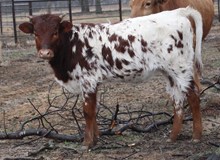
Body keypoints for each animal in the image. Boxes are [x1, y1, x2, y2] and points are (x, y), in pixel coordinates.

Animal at [18, 6, 203, 149]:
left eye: (55, 32)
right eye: (35, 33)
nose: (45, 53)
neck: (72, 44)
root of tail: (178, 12)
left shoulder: (88, 80)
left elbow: (87, 111)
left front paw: (87, 143)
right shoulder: (92, 82)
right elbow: (93, 110)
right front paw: (96, 139)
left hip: (181, 68)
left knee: (193, 96)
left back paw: (196, 136)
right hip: (169, 73)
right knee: (177, 101)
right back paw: (172, 137)